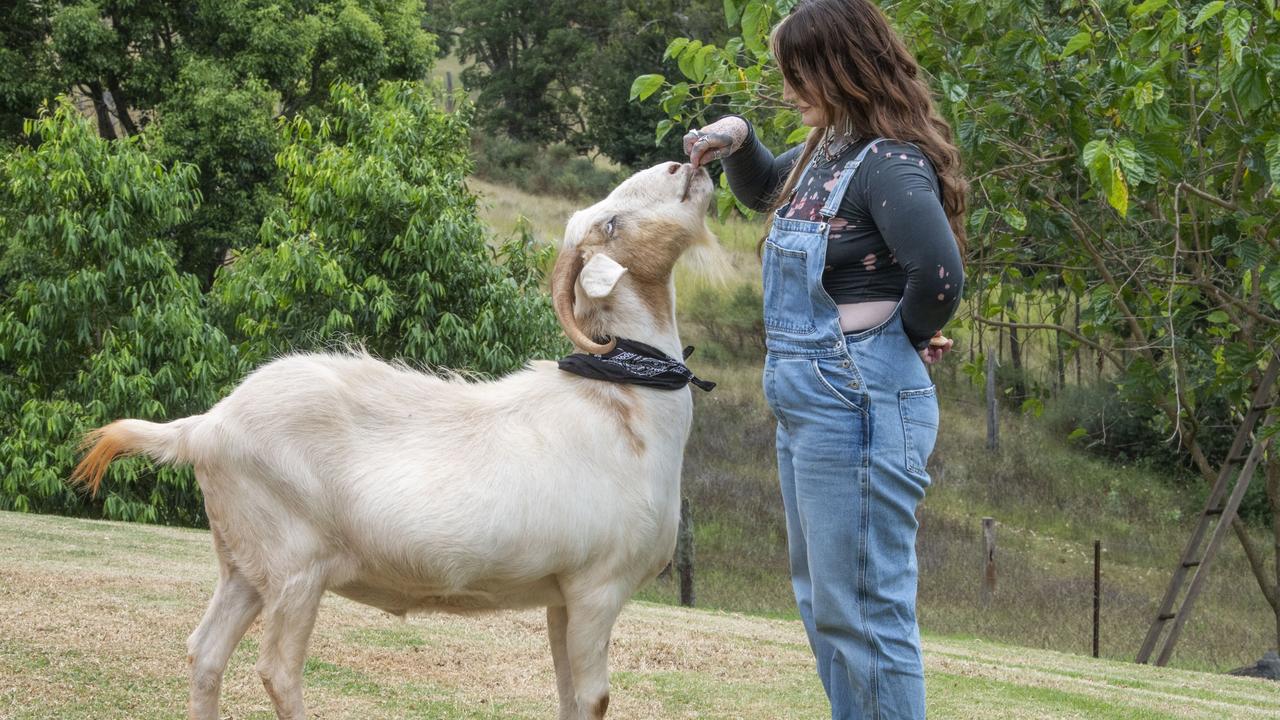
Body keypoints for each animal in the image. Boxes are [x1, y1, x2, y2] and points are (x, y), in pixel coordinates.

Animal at [72, 161, 721, 717]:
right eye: (610, 223)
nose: (682, 164)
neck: (622, 407)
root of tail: (206, 426)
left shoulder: (560, 594)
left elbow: (566, 697)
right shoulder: (596, 588)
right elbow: (593, 699)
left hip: (244, 563)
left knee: (205, 652)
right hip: (295, 565)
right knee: (277, 670)